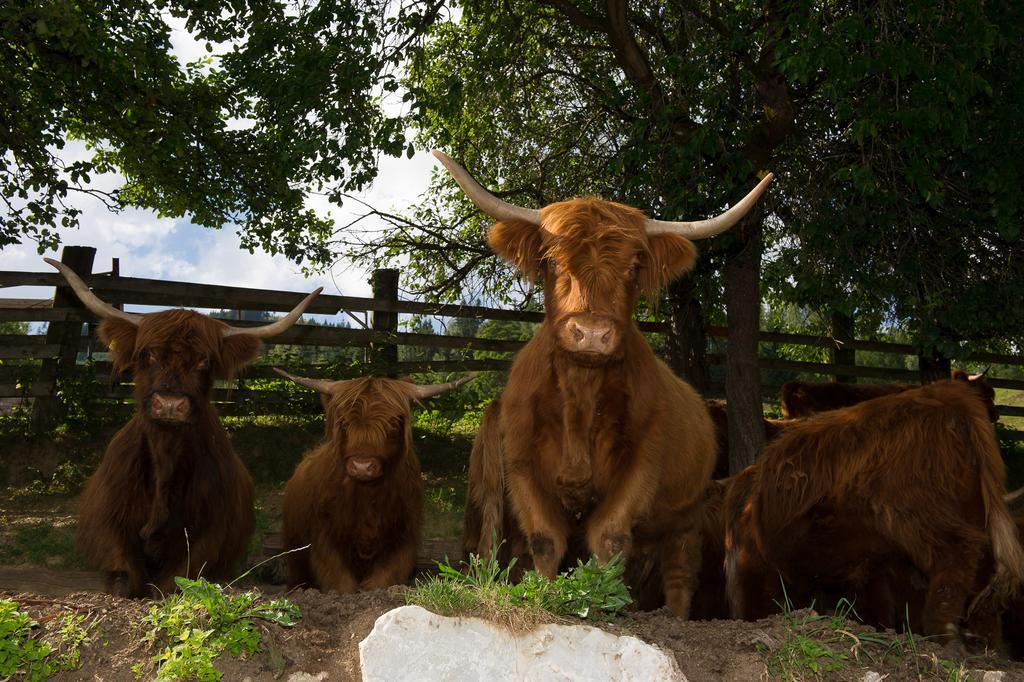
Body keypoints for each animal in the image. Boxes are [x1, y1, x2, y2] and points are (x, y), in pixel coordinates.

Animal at [45, 256, 319, 593]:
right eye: (148, 353)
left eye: (204, 360)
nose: (170, 404)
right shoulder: (107, 525)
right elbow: (124, 573)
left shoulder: (210, 535)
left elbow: (176, 578)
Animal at [278, 366, 473, 589]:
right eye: (343, 422)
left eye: (392, 422)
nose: (362, 466)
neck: (368, 496)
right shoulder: (323, 538)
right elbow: (342, 584)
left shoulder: (404, 537)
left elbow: (382, 580)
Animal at [436, 150, 770, 614]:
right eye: (552, 261)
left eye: (633, 267)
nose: (592, 333)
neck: (581, 389)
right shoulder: (522, 465)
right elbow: (545, 540)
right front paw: (548, 598)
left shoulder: (640, 465)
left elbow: (609, 537)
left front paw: (598, 603)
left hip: (685, 519)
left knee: (679, 573)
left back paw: (673, 616)